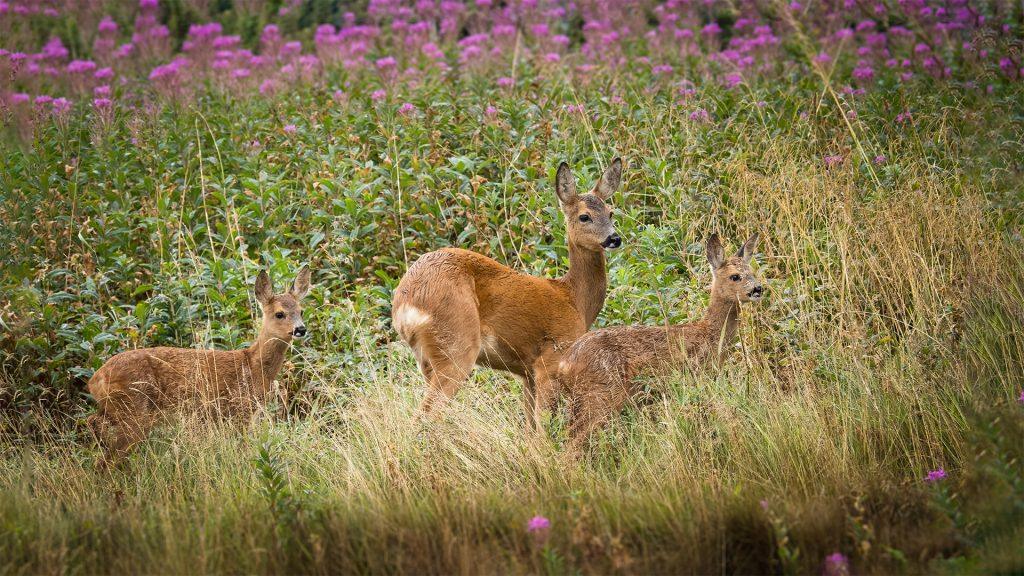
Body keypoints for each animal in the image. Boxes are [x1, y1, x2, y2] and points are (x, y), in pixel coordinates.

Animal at [86, 266, 312, 466]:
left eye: (301, 311)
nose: (300, 329)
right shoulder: (240, 410)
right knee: (105, 461)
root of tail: (95, 379)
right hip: (134, 409)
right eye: (280, 314)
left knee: (93, 425)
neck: (254, 366)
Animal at [391, 158, 623, 430]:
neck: (574, 300)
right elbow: (543, 425)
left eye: (611, 212)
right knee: (425, 416)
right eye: (584, 216)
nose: (614, 238)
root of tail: (405, 303)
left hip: (428, 360)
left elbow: (530, 427)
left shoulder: (527, 372)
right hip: (457, 343)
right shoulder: (550, 358)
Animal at [557, 233, 763, 453]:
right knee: (573, 442)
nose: (758, 289)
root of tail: (564, 365)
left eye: (752, 272)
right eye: (735, 276)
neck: (709, 335)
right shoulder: (696, 376)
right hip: (601, 393)